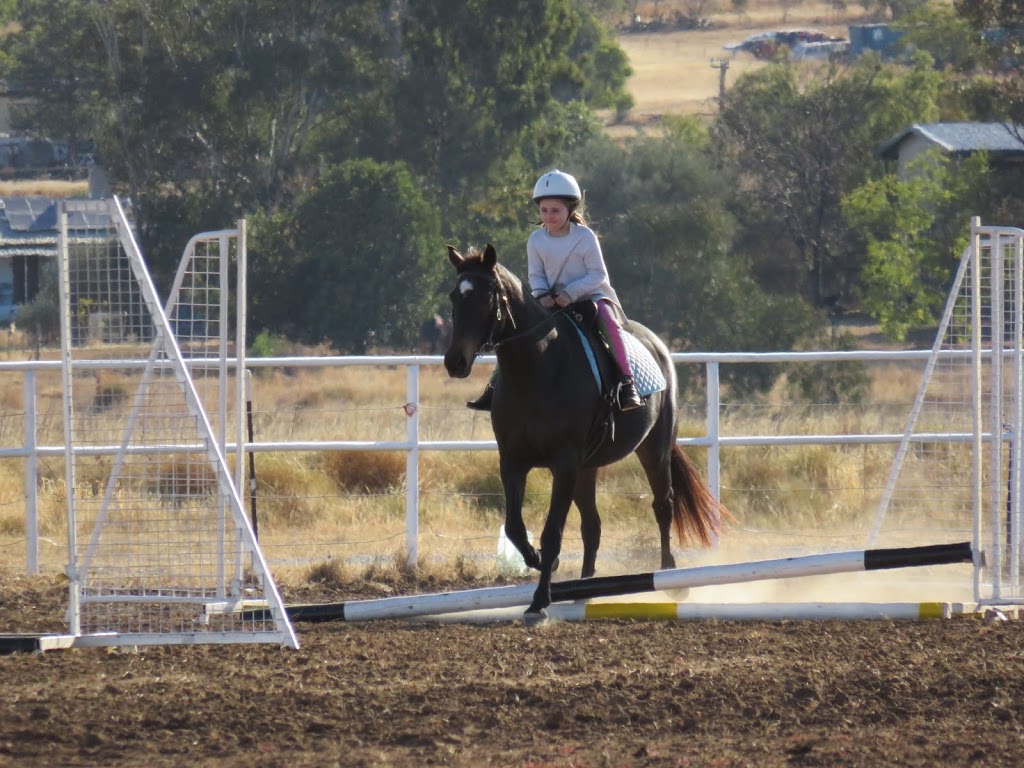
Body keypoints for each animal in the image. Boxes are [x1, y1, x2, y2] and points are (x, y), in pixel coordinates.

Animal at [442, 243, 729, 622]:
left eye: (488, 297)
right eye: (454, 297)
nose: (455, 362)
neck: (536, 371)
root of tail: (658, 345)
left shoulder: (563, 464)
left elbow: (552, 533)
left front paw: (540, 600)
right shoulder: (513, 463)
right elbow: (515, 527)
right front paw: (538, 563)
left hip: (654, 450)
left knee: (662, 506)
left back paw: (670, 577)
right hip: (587, 468)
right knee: (592, 526)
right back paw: (584, 589)